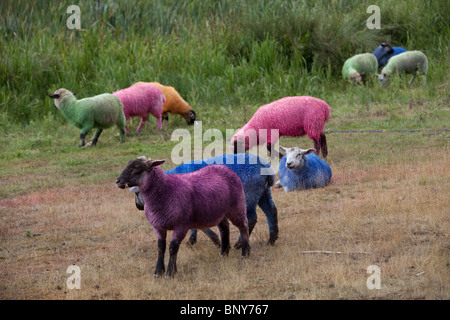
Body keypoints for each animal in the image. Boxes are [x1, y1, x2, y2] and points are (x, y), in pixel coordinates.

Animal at [115, 156, 250, 276]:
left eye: (136, 167)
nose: (117, 181)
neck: (167, 190)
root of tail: (225, 168)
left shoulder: (181, 225)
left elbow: (173, 248)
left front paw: (170, 272)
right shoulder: (158, 226)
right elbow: (160, 247)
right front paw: (158, 271)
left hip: (237, 206)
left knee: (244, 226)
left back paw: (245, 253)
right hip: (219, 211)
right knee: (224, 228)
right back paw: (224, 253)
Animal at [130, 154, 278, 248]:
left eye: (137, 192)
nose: (138, 206)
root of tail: (265, 165)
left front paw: (216, 241)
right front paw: (192, 241)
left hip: (248, 195)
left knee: (251, 218)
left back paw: (239, 244)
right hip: (263, 192)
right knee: (271, 211)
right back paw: (272, 239)